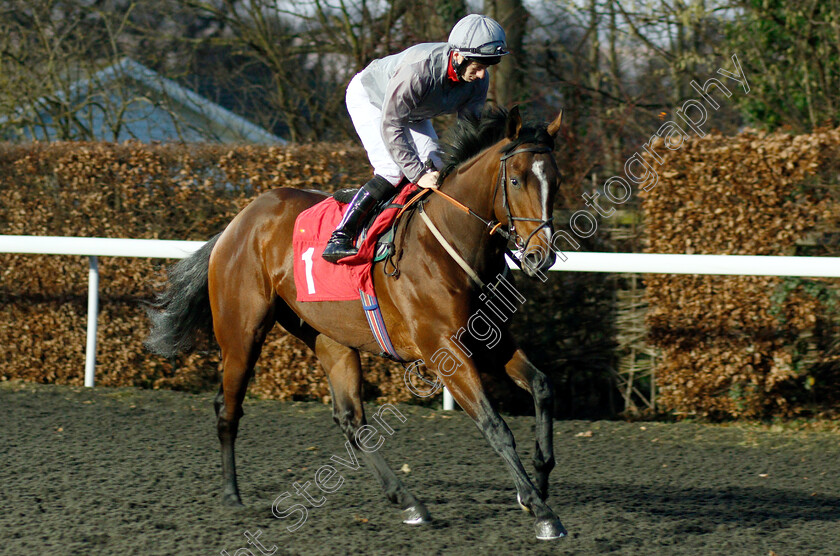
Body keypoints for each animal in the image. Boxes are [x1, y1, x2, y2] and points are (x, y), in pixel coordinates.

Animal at [148, 104, 572, 540]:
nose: (540, 256)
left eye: (556, 181)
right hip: (242, 333)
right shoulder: (442, 348)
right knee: (227, 407)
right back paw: (232, 496)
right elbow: (494, 424)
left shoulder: (488, 339)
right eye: (517, 179)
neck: (449, 242)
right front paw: (542, 511)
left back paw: (408, 501)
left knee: (352, 420)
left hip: (329, 338)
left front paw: (539, 481)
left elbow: (542, 386)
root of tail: (237, 222)